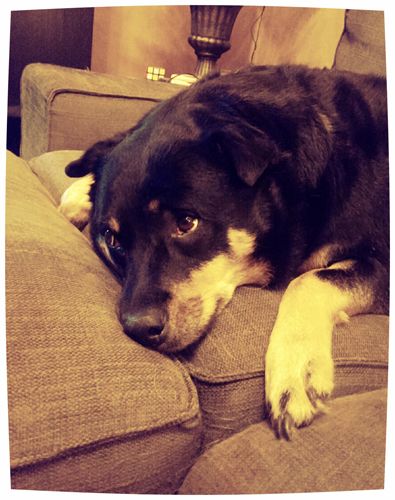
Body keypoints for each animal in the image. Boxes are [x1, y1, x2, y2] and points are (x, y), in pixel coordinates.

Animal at [59, 65, 390, 438]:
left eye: (186, 222)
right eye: (113, 240)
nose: (138, 329)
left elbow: (309, 281)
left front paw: (295, 372)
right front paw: (75, 200)